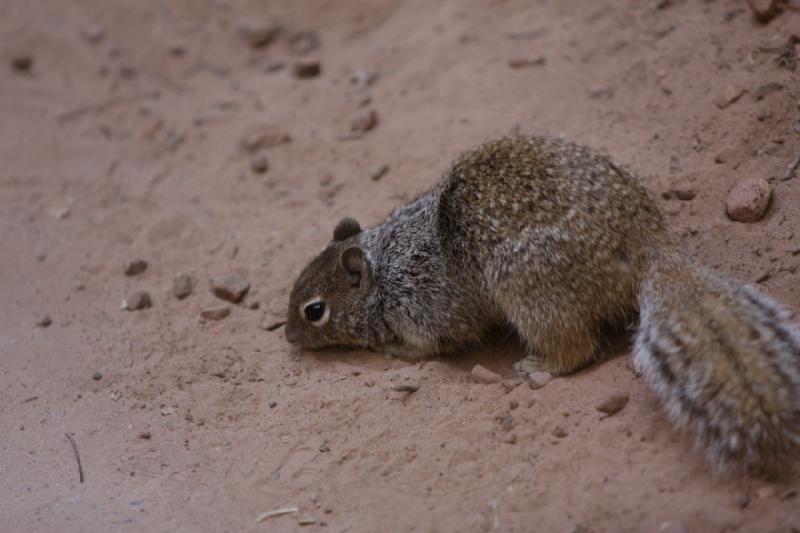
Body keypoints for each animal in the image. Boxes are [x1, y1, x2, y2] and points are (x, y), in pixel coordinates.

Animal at [284, 134, 800, 474]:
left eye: (314, 310)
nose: (287, 337)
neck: (385, 267)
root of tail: (650, 246)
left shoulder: (423, 302)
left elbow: (431, 344)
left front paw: (393, 350)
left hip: (529, 288)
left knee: (577, 348)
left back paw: (540, 366)